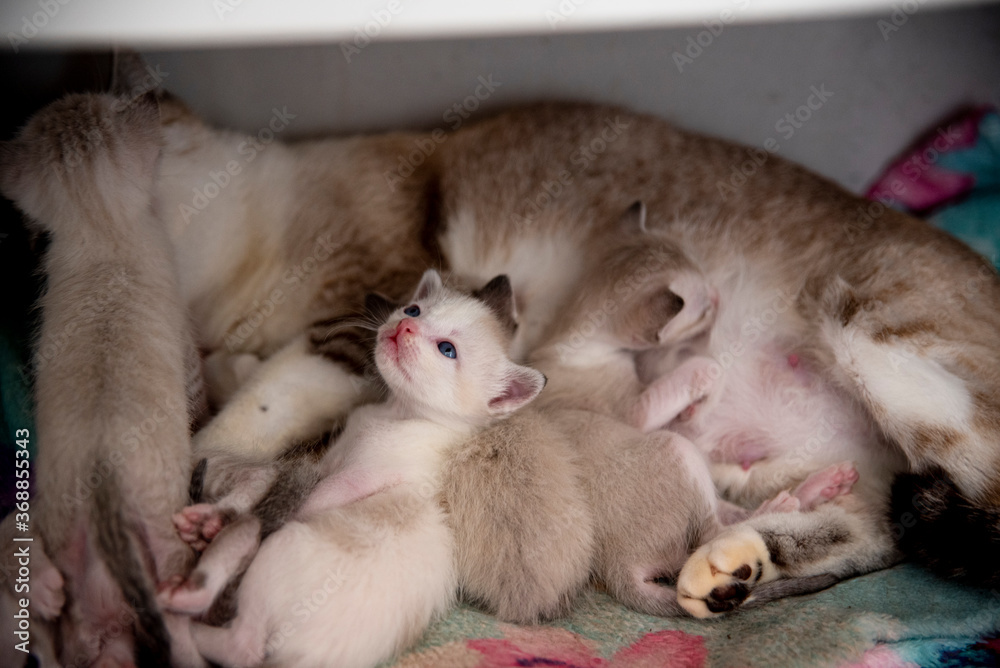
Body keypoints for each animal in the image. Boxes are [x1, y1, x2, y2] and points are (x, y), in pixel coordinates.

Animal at [162, 270, 548, 668]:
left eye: (447, 350)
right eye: (413, 309)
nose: (406, 325)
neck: (396, 413)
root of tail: (295, 660)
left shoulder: (363, 478)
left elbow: (312, 496)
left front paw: (220, 518)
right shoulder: (330, 458)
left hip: (277, 554)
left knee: (243, 633)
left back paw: (179, 606)